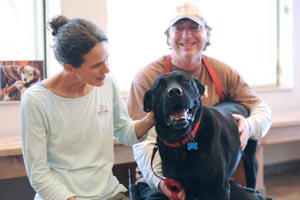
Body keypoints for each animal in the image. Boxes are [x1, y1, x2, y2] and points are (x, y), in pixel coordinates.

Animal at [144, 71, 256, 200]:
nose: (174, 92)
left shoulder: (220, 189)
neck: (181, 141)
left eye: (186, 82)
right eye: (159, 87)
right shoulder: (182, 189)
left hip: (250, 162)